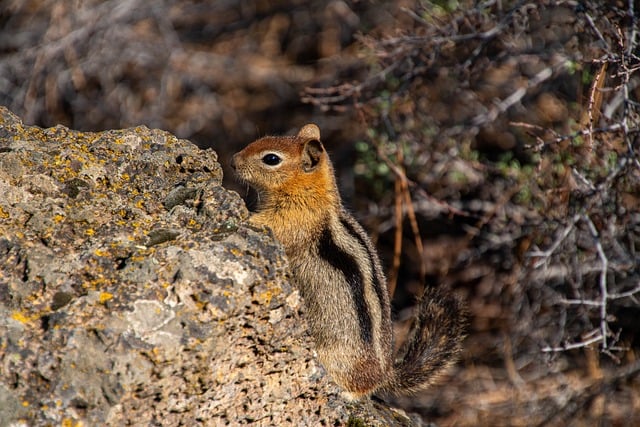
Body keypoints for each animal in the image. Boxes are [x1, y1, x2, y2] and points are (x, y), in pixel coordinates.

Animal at [230, 125, 464, 400]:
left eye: (271, 159)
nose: (233, 161)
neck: (310, 191)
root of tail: (385, 374)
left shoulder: (294, 219)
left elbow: (271, 225)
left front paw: (245, 216)